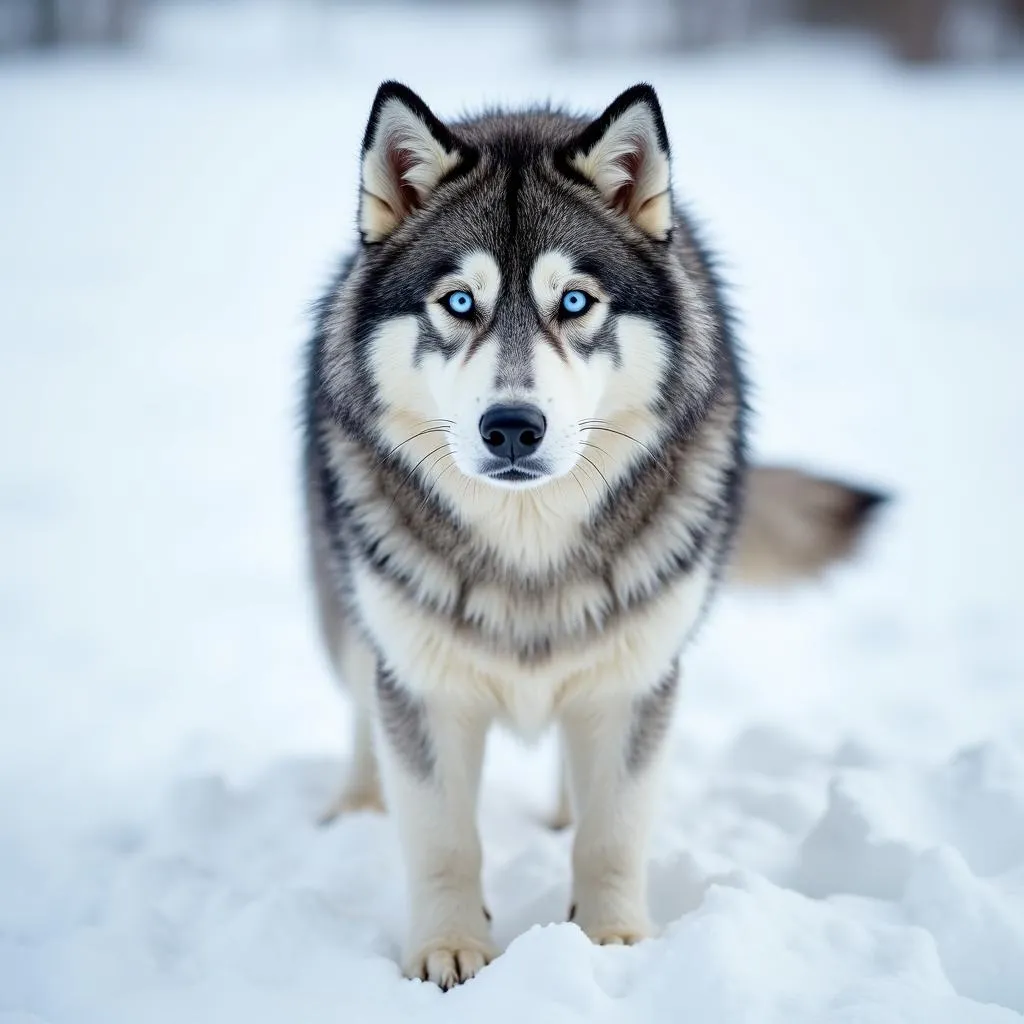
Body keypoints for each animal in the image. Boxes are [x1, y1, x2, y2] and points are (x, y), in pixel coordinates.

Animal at [301, 83, 880, 987]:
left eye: (574, 301)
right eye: (458, 301)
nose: (511, 426)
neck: (528, 547)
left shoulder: (635, 678)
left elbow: (616, 830)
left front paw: (613, 944)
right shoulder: (427, 685)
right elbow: (440, 838)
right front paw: (448, 949)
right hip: (349, 595)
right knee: (363, 697)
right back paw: (360, 801)